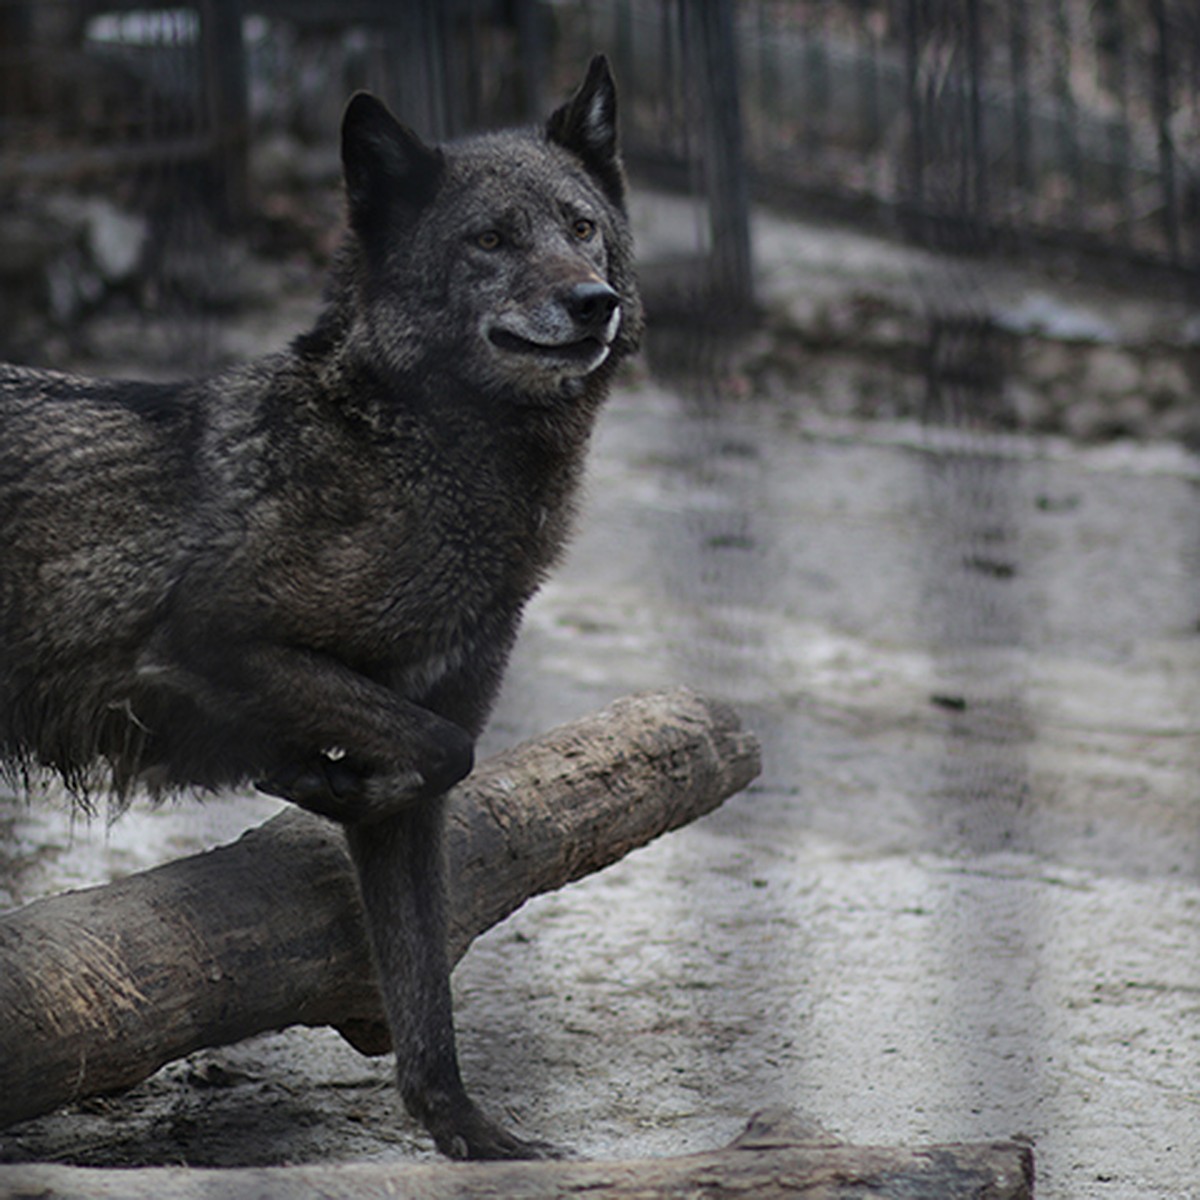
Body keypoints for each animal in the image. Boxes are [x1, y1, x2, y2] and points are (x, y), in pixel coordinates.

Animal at [0, 58, 648, 1161]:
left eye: (581, 227)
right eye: (490, 240)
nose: (592, 301)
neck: (410, 457)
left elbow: (424, 980)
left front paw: (465, 1129)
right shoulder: (213, 645)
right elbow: (441, 750)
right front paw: (317, 778)